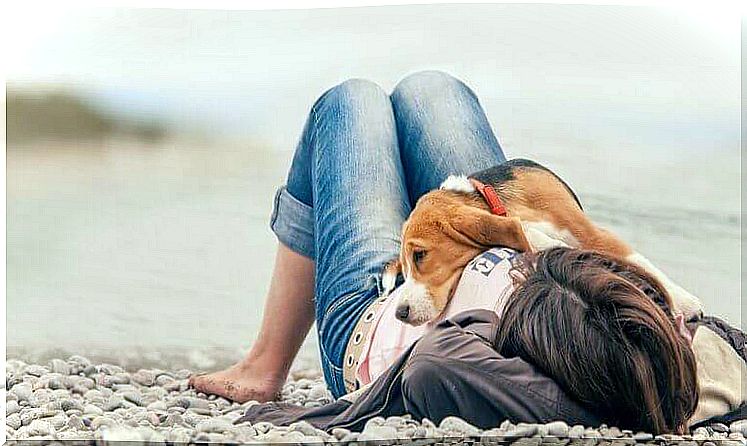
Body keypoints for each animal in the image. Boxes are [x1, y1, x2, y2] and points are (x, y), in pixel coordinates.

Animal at [388, 159, 704, 326]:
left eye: (420, 255)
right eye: (404, 266)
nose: (399, 313)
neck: (499, 202)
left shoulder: (588, 232)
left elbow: (638, 260)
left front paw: (685, 302)